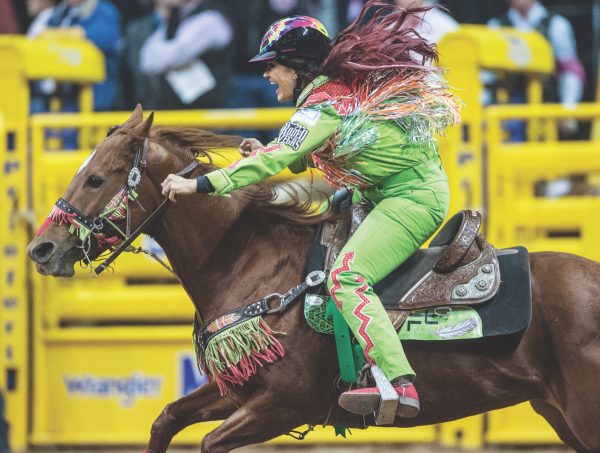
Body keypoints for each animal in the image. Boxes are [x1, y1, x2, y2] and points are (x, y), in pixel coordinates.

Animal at [28, 107, 600, 452]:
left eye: (95, 178)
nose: (41, 248)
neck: (251, 262)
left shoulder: (282, 405)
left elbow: (209, 441)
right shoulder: (238, 388)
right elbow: (166, 417)